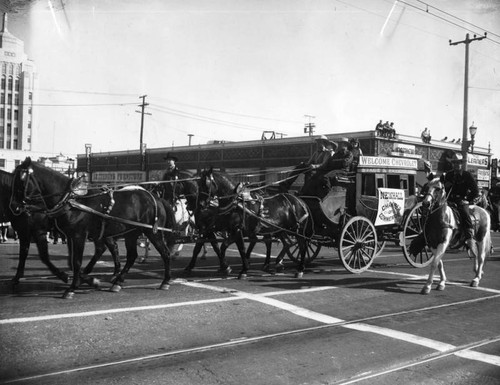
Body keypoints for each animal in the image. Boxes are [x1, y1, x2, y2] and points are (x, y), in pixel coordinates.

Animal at [10, 158, 177, 298]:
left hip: (153, 233)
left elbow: (76, 262)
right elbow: (72, 262)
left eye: (22, 180)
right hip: (131, 233)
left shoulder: (79, 236)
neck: (72, 201)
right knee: (131, 256)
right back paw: (118, 281)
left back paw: (165, 281)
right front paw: (86, 280)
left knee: (165, 253)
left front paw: (72, 288)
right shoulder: (70, 236)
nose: (14, 207)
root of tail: (156, 198)